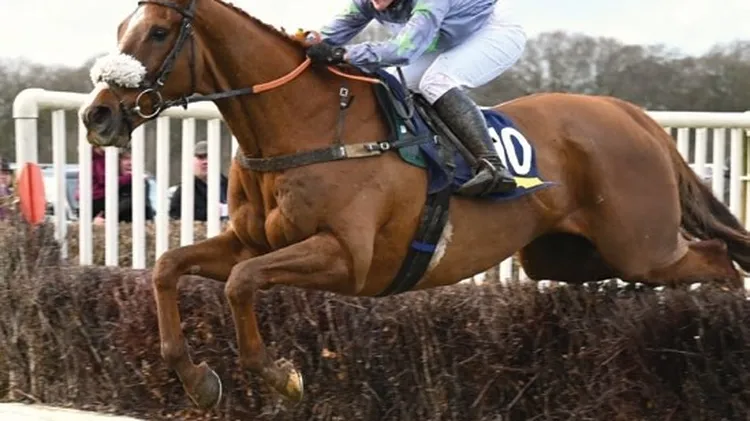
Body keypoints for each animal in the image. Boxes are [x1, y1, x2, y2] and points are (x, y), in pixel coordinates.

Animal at [79, 0, 750, 410]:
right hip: (565, 255)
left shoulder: (347, 258)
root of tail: (632, 114)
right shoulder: (253, 240)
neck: (310, 123)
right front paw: (198, 379)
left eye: (158, 32)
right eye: (118, 31)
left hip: (643, 244)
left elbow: (243, 282)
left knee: (719, 261)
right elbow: (169, 268)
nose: (98, 116)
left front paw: (281, 375)